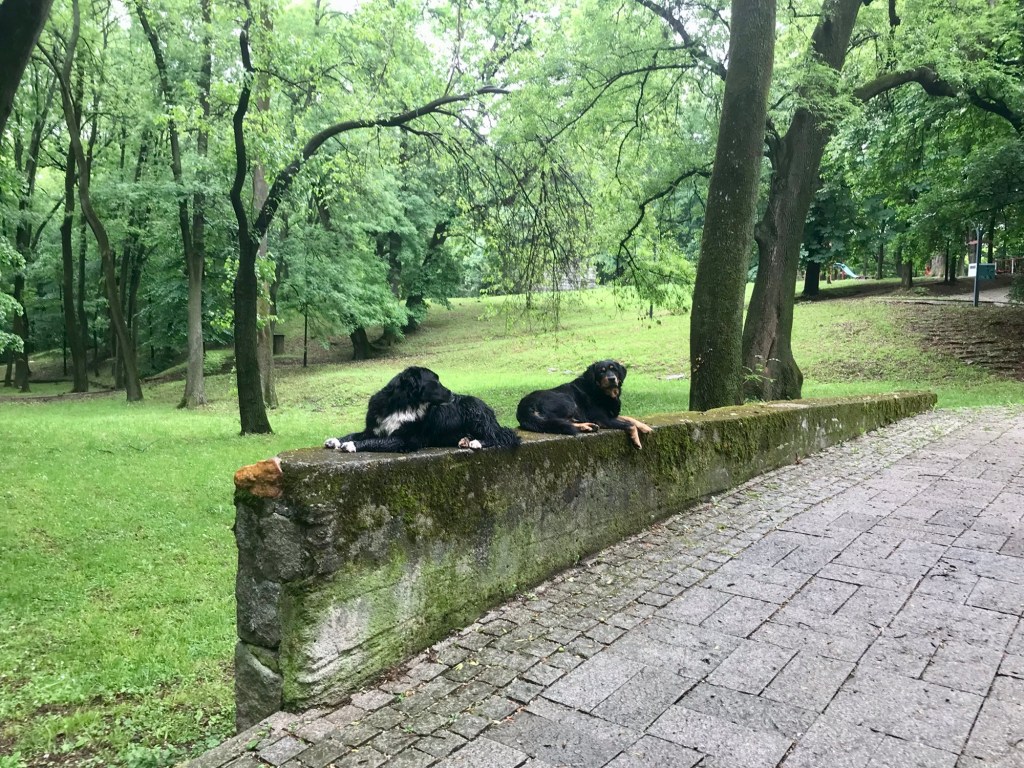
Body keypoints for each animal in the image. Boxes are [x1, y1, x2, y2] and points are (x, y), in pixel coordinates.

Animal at [324, 366, 520, 453]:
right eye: (436, 382)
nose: (452, 393)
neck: (404, 405)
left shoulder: (404, 440)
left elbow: (374, 442)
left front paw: (351, 445)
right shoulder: (374, 428)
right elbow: (355, 434)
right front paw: (336, 440)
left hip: (474, 410)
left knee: (500, 436)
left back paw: (476, 442)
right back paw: (465, 440)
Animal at [516, 360, 653, 448]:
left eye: (614, 369)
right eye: (601, 371)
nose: (612, 378)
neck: (601, 391)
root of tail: (524, 406)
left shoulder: (611, 415)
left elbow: (630, 418)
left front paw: (645, 427)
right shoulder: (603, 419)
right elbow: (629, 424)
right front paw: (636, 440)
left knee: (563, 422)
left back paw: (587, 426)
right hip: (567, 400)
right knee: (561, 422)